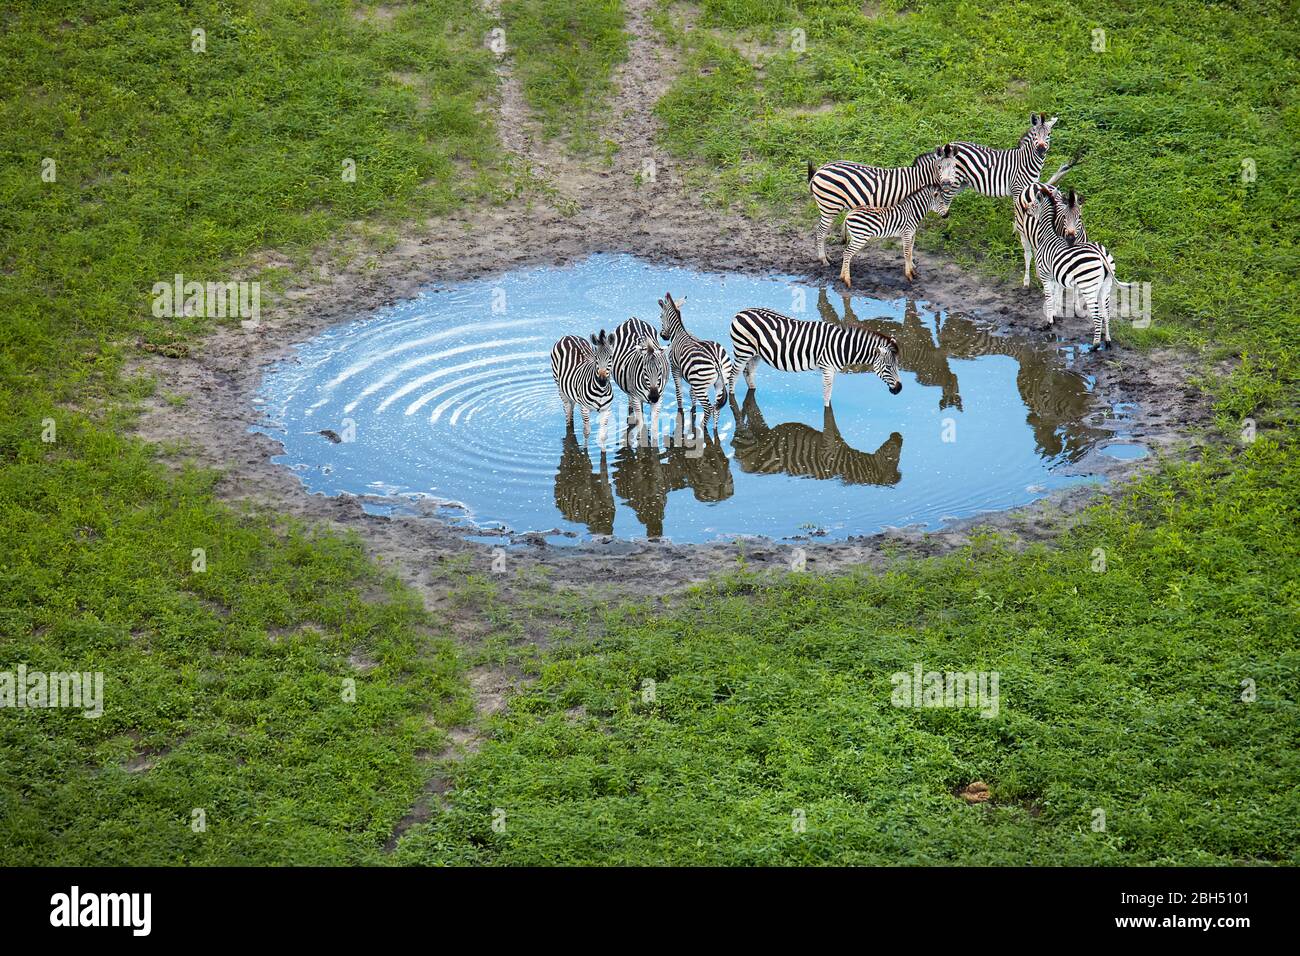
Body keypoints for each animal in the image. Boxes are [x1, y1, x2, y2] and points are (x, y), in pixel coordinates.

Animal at [655, 290, 738, 429]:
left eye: (661, 316)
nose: (663, 336)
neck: (679, 332)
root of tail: (715, 359)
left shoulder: (675, 368)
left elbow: (679, 393)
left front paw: (681, 411)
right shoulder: (691, 378)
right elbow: (691, 394)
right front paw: (693, 409)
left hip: (701, 384)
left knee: (708, 408)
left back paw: (702, 427)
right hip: (720, 382)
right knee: (716, 408)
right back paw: (714, 428)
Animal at [728, 308, 899, 405]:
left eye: (897, 367)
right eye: (888, 367)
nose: (899, 389)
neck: (843, 346)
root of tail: (741, 312)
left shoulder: (832, 369)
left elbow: (829, 392)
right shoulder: (827, 368)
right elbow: (827, 393)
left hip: (756, 353)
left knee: (748, 372)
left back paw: (753, 390)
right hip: (742, 350)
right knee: (733, 374)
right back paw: (732, 398)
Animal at [806, 145, 961, 265]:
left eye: (955, 167)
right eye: (939, 167)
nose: (947, 183)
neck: (920, 180)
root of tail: (820, 170)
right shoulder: (910, 208)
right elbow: (911, 239)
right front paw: (910, 262)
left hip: (829, 207)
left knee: (823, 231)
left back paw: (827, 257)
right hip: (829, 206)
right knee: (821, 232)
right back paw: (823, 259)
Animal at [1024, 183, 1118, 348]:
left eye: (1034, 203)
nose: (1025, 209)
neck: (1048, 235)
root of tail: (1101, 254)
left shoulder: (1045, 275)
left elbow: (1049, 297)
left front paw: (1049, 322)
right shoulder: (1054, 275)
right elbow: (1055, 294)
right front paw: (1055, 316)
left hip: (1088, 286)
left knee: (1097, 314)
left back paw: (1095, 345)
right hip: (1105, 285)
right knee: (1106, 313)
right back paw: (1107, 341)